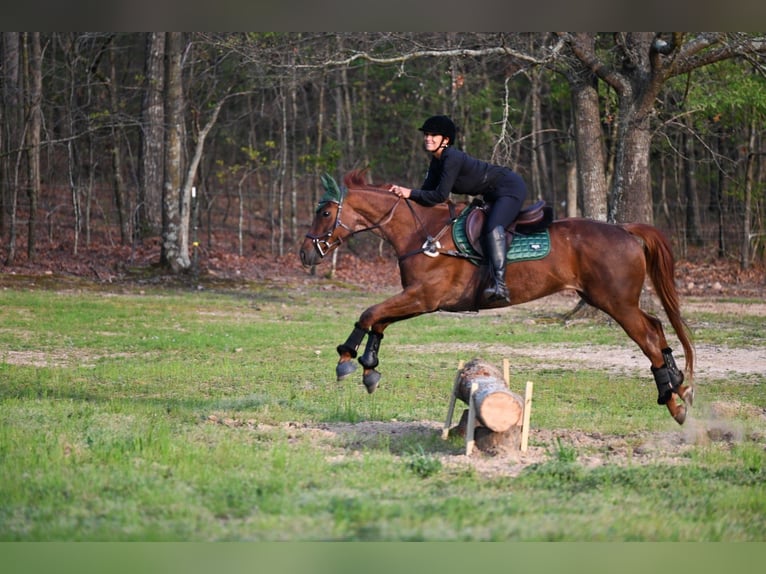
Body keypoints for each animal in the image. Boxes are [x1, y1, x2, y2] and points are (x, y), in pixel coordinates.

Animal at [299, 170, 695, 425]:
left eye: (325, 212)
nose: (305, 254)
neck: (421, 233)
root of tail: (625, 230)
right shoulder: (419, 299)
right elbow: (378, 320)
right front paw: (369, 367)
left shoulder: (425, 297)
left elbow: (369, 313)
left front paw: (347, 359)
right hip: (614, 301)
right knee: (657, 328)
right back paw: (678, 388)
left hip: (616, 303)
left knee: (648, 338)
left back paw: (672, 399)